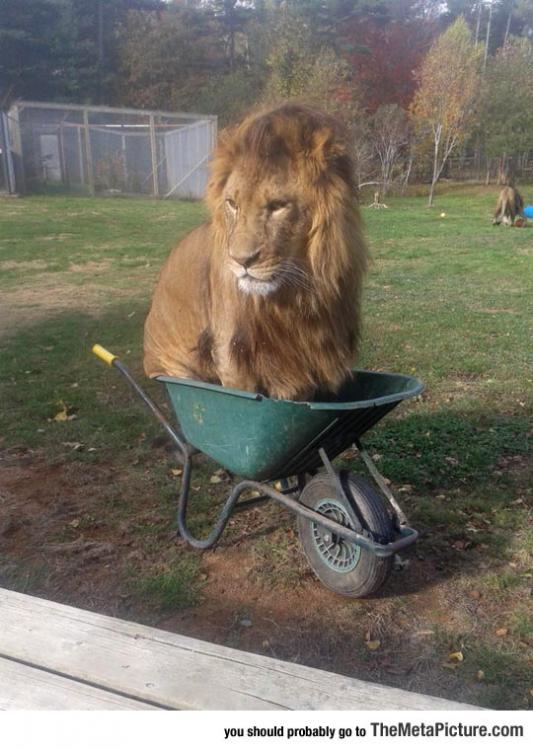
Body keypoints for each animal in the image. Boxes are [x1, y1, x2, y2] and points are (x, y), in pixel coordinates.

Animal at [143, 103, 368, 401]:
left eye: (278, 206)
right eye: (232, 204)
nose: (241, 261)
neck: (293, 299)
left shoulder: (302, 365)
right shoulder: (232, 356)